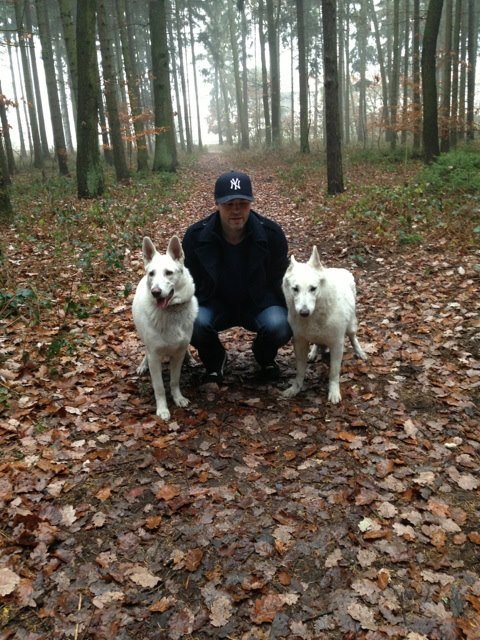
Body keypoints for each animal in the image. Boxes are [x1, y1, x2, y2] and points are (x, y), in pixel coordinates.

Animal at [130, 235, 198, 420]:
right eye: (152, 274)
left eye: (169, 272)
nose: (155, 292)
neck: (171, 312)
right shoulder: (154, 356)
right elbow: (159, 387)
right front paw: (162, 409)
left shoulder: (178, 354)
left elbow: (174, 380)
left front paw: (178, 398)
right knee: (145, 351)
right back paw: (142, 365)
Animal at [282, 246, 368, 402]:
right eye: (295, 289)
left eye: (313, 288)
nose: (304, 312)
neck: (315, 315)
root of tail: (340, 269)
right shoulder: (299, 342)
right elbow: (300, 371)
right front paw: (295, 389)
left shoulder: (337, 344)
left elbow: (334, 373)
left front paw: (333, 392)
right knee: (317, 342)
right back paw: (313, 352)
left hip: (351, 326)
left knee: (353, 338)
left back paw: (360, 352)